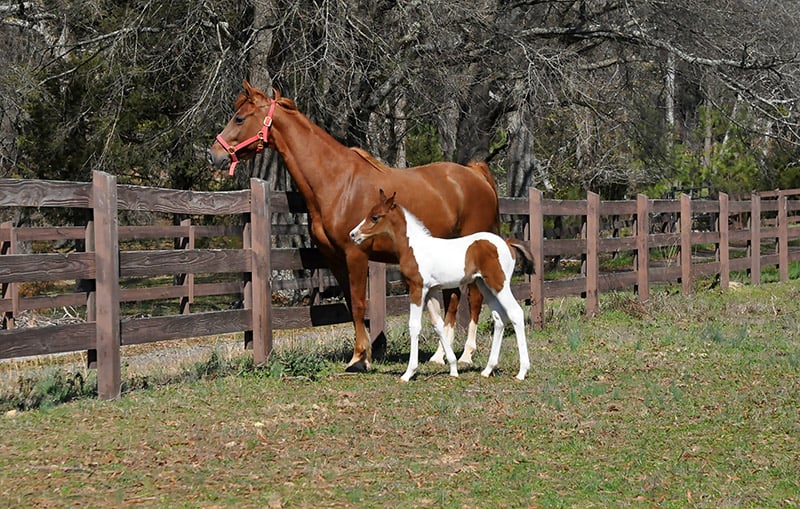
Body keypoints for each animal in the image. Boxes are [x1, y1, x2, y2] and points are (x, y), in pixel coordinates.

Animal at [207, 81, 500, 372]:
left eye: (239, 118)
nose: (214, 155)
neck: (338, 183)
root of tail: (475, 174)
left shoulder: (356, 254)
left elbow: (360, 304)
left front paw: (360, 359)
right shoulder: (335, 258)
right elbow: (350, 302)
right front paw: (362, 354)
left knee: (474, 298)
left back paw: (466, 355)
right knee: (453, 297)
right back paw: (441, 356)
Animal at [349, 190, 532, 381]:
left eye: (375, 217)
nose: (353, 235)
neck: (414, 247)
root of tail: (507, 243)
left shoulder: (417, 288)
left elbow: (414, 326)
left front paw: (409, 372)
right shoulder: (430, 291)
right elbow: (438, 324)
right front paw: (452, 367)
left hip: (499, 284)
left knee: (515, 313)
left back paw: (522, 372)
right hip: (485, 285)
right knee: (499, 317)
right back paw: (488, 369)